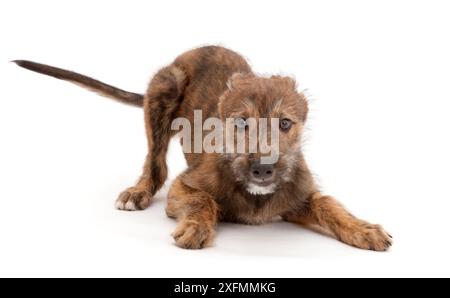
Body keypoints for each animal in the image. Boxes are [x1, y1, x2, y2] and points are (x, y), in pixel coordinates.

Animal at [13, 45, 394, 250]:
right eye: (241, 123)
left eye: (285, 123)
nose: (264, 169)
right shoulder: (185, 186)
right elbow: (202, 199)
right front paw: (197, 227)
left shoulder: (298, 195)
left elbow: (329, 204)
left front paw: (364, 229)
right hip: (164, 88)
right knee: (156, 165)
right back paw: (138, 191)